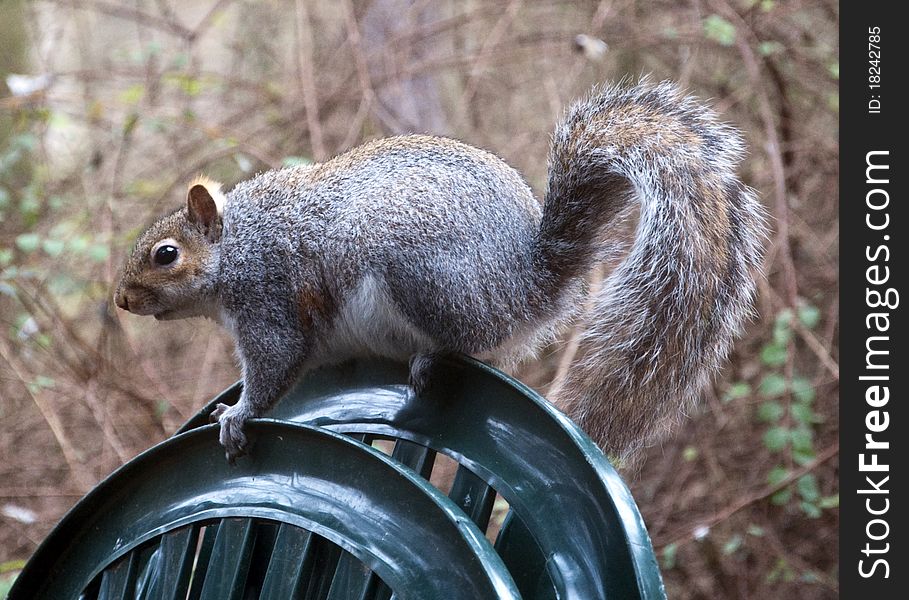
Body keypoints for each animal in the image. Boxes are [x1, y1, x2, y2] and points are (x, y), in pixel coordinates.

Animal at [113, 79, 768, 464]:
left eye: (166, 254)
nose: (122, 300)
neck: (238, 245)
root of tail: (530, 282)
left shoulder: (269, 298)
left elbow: (275, 365)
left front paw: (237, 415)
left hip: (422, 276)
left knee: (469, 340)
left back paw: (434, 357)